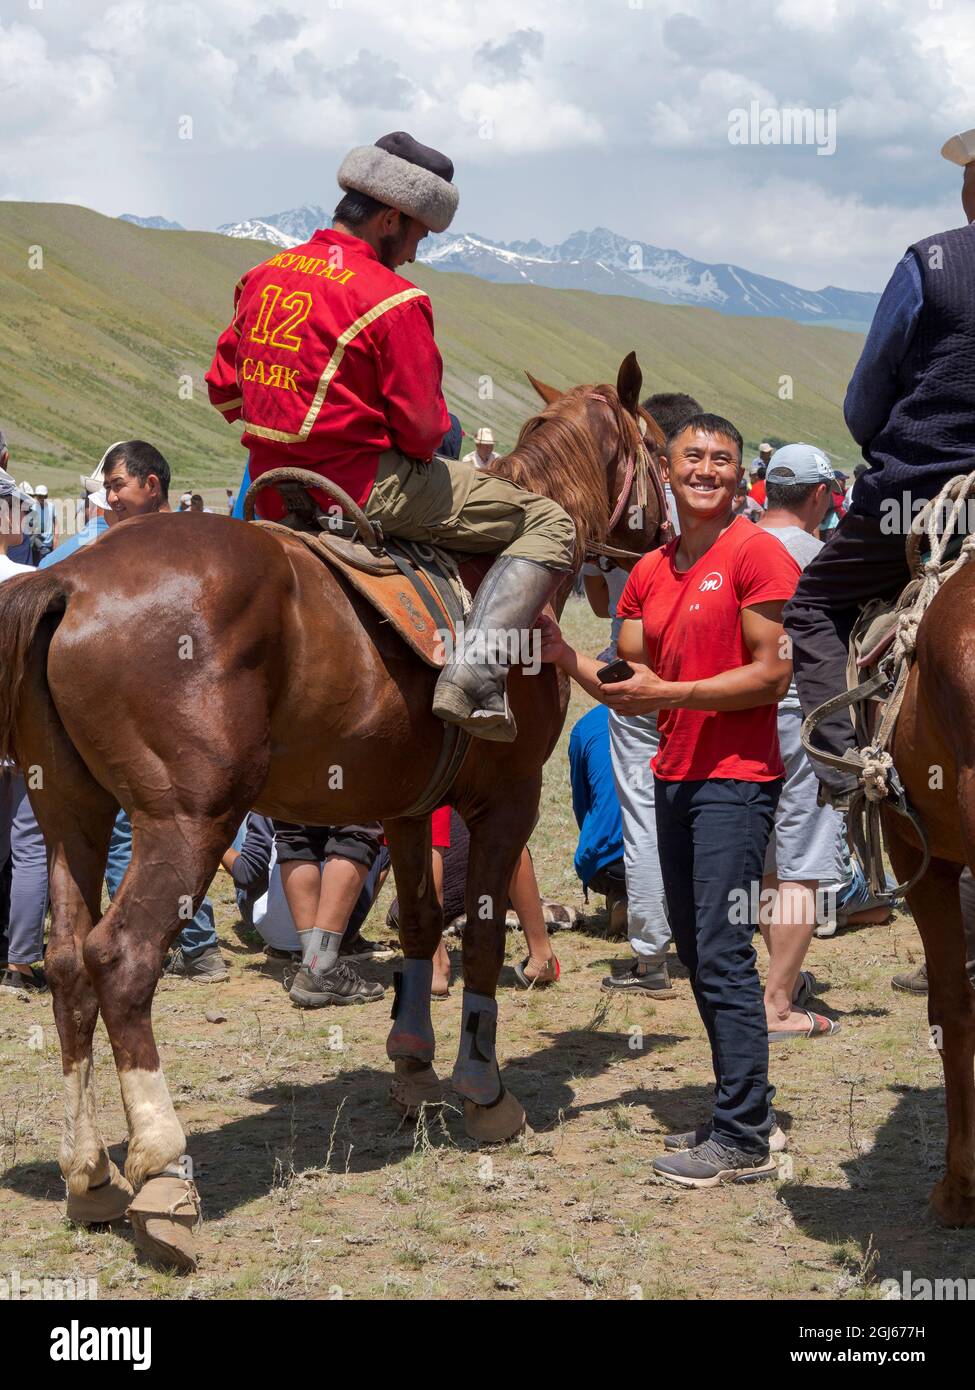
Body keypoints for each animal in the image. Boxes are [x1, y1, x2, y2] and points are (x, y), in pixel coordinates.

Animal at [0, 350, 664, 1273]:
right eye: (664, 447)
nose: (671, 538)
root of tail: (66, 577)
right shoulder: (508, 799)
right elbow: (482, 935)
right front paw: (483, 1091)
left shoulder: (406, 809)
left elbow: (419, 923)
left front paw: (413, 1069)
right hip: (185, 820)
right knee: (122, 962)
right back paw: (164, 1181)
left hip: (70, 814)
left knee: (68, 966)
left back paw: (90, 1175)